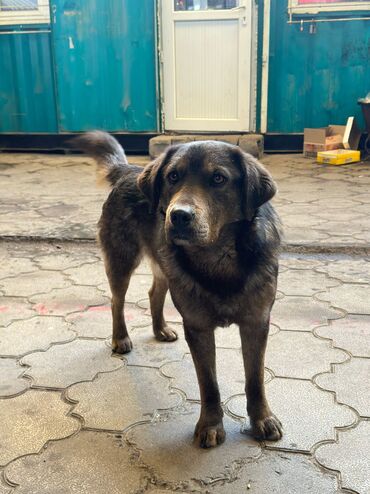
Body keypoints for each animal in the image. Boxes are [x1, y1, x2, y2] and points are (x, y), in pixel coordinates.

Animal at [76, 131, 284, 448]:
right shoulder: (198, 327)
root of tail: (130, 170)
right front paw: (210, 424)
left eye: (219, 178)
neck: (218, 258)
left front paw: (261, 419)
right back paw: (120, 338)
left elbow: (255, 379)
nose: (178, 216)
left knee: (154, 293)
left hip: (166, 265)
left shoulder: (256, 323)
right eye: (173, 176)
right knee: (116, 301)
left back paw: (160, 329)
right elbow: (209, 384)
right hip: (123, 260)